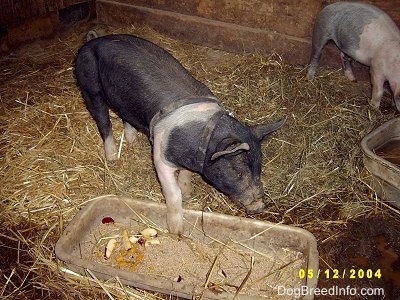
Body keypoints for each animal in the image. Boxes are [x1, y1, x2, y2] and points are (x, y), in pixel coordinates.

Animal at [75, 32, 286, 234]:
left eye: (259, 168)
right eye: (238, 171)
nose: (260, 206)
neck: (201, 141)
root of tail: (93, 41)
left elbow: (185, 175)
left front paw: (188, 192)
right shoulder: (160, 156)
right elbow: (173, 194)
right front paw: (176, 231)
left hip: (123, 99)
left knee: (123, 115)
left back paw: (132, 140)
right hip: (90, 87)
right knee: (104, 122)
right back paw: (112, 158)